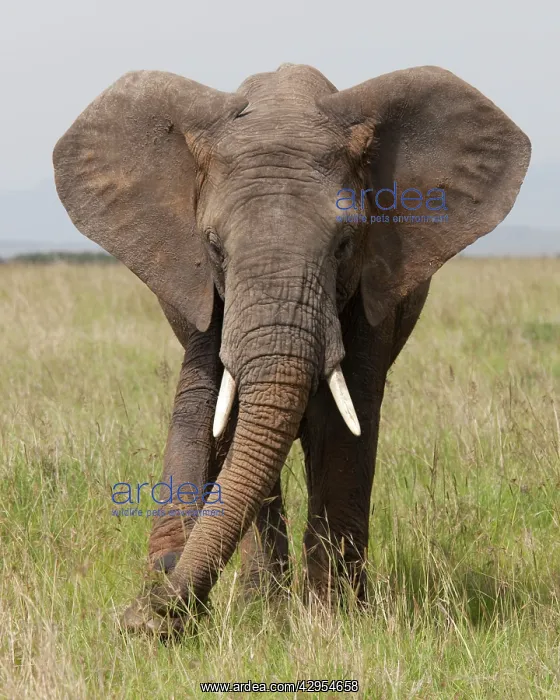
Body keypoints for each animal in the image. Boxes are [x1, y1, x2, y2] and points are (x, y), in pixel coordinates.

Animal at [53, 63, 530, 634]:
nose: (141, 612)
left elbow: (344, 423)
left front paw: (335, 621)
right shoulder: (202, 292)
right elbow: (208, 409)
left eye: (344, 245)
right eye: (213, 246)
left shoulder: (371, 286)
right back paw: (263, 603)